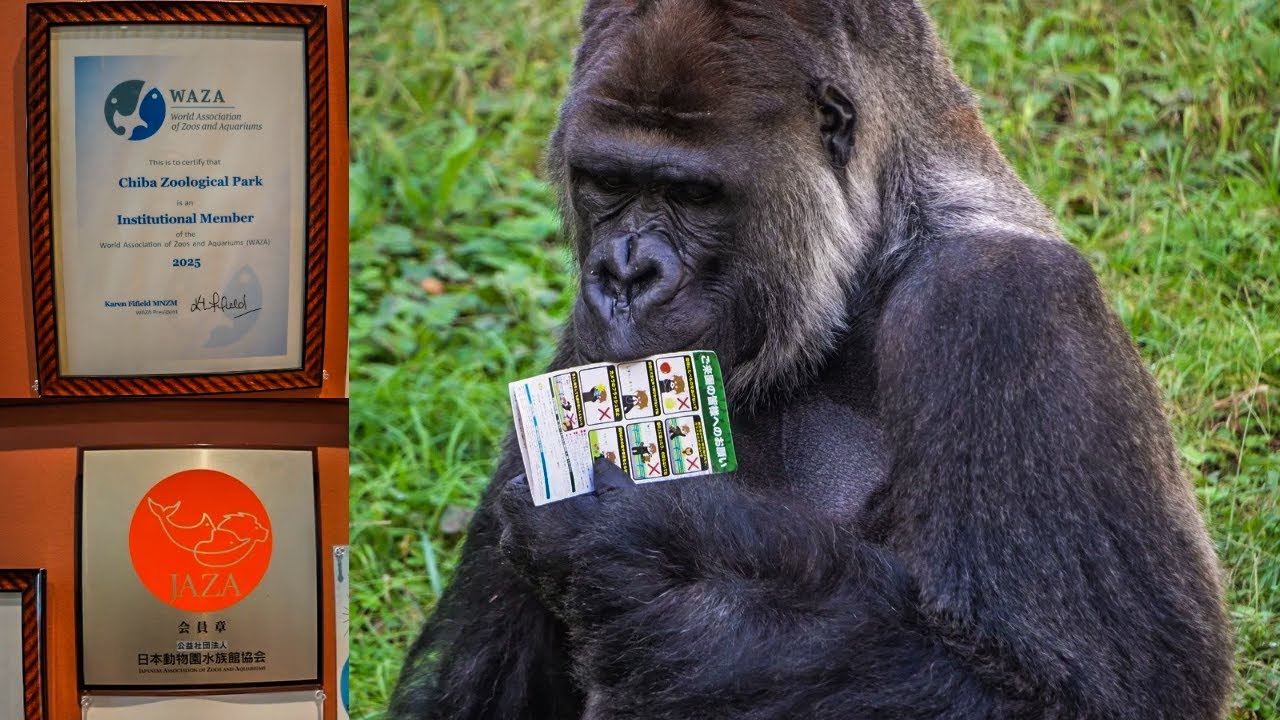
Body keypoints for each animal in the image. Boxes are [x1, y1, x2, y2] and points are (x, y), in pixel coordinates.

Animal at [389, 1, 1233, 718]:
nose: (624, 275)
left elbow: (1067, 693)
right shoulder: (583, 339)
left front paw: (631, 547)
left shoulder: (1000, 301)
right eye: (607, 182)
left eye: (693, 195)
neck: (871, 251)